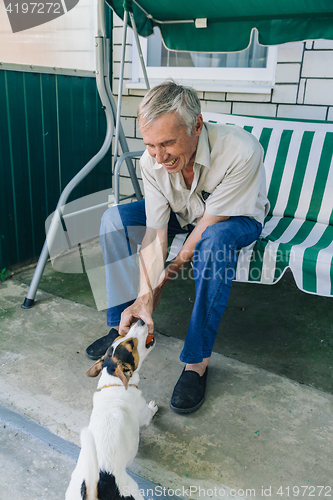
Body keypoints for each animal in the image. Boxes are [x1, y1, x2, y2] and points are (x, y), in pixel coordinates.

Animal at [66, 320, 158, 500]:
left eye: (120, 336)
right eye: (131, 344)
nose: (140, 320)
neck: (114, 383)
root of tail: (92, 489)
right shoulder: (143, 412)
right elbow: (149, 413)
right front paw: (154, 407)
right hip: (132, 489)